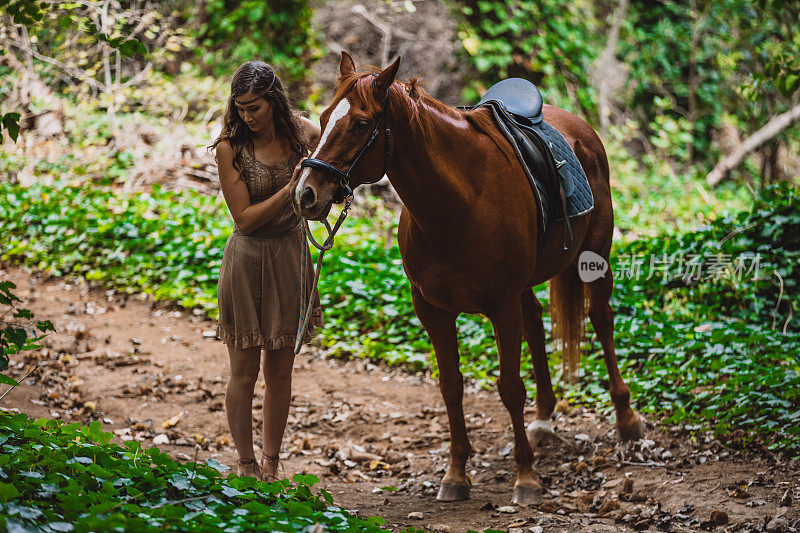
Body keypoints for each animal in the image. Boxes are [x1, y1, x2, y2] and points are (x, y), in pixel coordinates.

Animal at [292, 53, 644, 502]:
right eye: (322, 117)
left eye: (360, 123)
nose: (305, 194)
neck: (459, 202)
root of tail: (579, 128)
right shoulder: (432, 309)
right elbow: (451, 386)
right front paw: (456, 474)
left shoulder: (501, 305)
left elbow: (510, 388)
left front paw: (525, 478)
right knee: (537, 325)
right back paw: (544, 419)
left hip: (594, 260)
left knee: (601, 320)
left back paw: (627, 420)